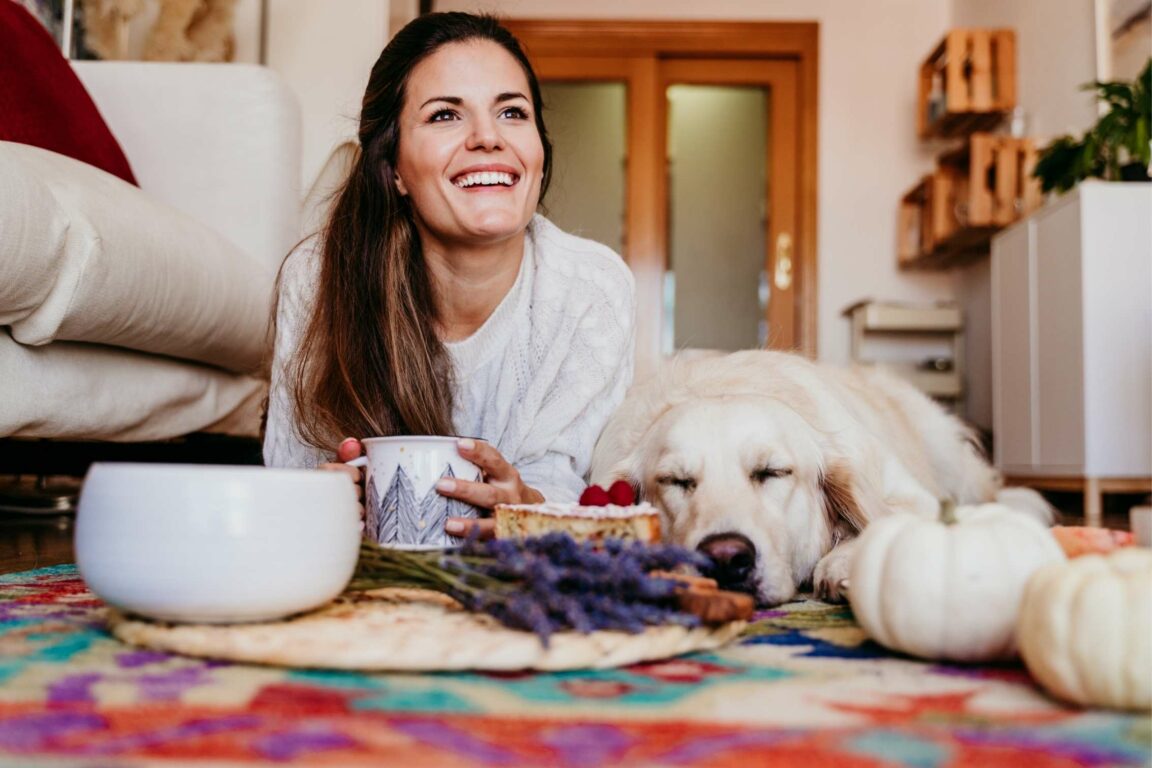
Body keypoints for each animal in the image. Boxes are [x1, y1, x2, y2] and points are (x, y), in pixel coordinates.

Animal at [594, 347, 1046, 607]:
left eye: (772, 472)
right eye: (675, 481)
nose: (724, 557)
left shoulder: (912, 495)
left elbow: (886, 519)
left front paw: (844, 561)